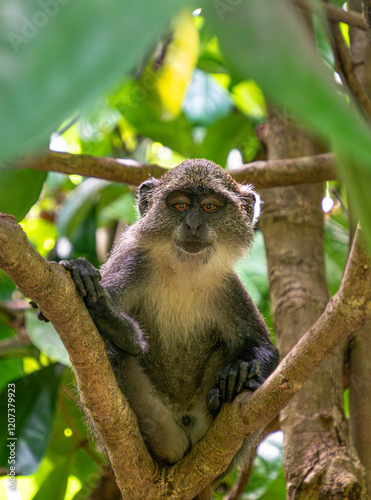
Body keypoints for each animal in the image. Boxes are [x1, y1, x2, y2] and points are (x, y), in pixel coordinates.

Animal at [50, 160, 280, 472]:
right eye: (180, 205)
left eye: (209, 207)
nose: (193, 224)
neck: (183, 270)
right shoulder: (133, 262)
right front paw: (102, 306)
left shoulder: (228, 287)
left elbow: (264, 347)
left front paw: (242, 372)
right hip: (157, 423)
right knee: (114, 351)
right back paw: (115, 325)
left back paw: (224, 396)